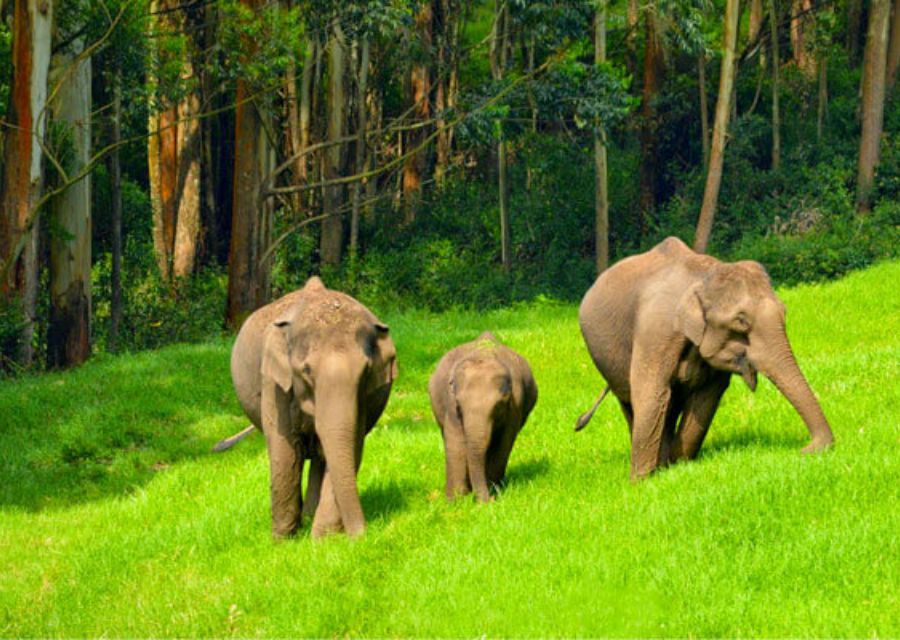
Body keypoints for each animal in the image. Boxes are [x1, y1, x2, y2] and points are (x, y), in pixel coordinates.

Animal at [227, 276, 398, 539]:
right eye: (306, 370)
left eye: (366, 371)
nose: (362, 536)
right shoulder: (274, 383)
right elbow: (284, 451)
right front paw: (283, 540)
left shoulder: (362, 398)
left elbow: (349, 446)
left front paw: (322, 539)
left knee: (320, 457)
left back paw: (309, 517)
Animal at [428, 332, 538, 502]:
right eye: (459, 406)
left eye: (498, 406)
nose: (488, 501)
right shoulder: (450, 405)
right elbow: (455, 441)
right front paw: (455, 500)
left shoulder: (515, 405)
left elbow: (503, 442)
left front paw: (493, 491)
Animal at [577, 237, 834, 479]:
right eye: (741, 321)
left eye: (784, 311)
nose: (805, 450)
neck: (703, 275)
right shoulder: (654, 333)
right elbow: (652, 393)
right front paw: (642, 482)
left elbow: (706, 397)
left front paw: (678, 466)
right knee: (632, 402)